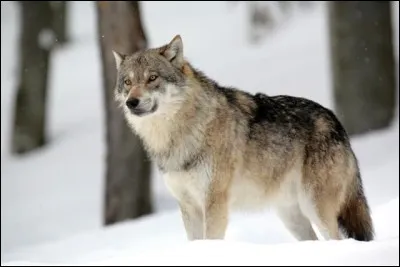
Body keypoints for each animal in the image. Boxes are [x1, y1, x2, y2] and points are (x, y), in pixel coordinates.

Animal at [111, 34, 376, 242]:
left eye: (152, 78)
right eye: (128, 82)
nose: (132, 102)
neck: (178, 134)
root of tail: (336, 120)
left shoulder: (214, 202)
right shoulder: (188, 206)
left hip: (316, 208)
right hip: (291, 216)